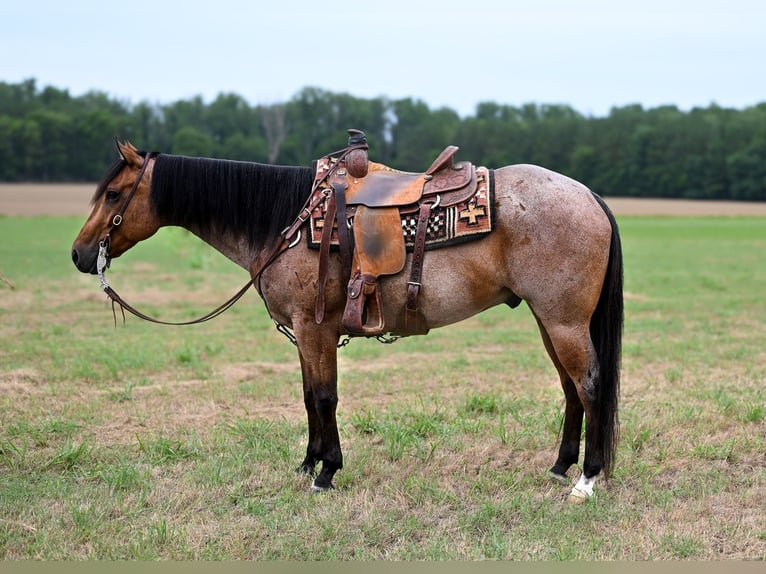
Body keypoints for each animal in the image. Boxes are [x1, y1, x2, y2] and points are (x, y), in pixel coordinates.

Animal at [70, 140, 624, 504]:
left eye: (114, 195)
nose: (78, 254)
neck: (287, 221)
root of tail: (590, 196)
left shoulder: (315, 328)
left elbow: (324, 397)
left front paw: (327, 472)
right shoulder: (304, 334)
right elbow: (307, 396)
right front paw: (307, 463)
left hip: (564, 321)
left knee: (590, 385)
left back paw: (587, 479)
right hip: (548, 320)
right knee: (570, 388)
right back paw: (559, 468)